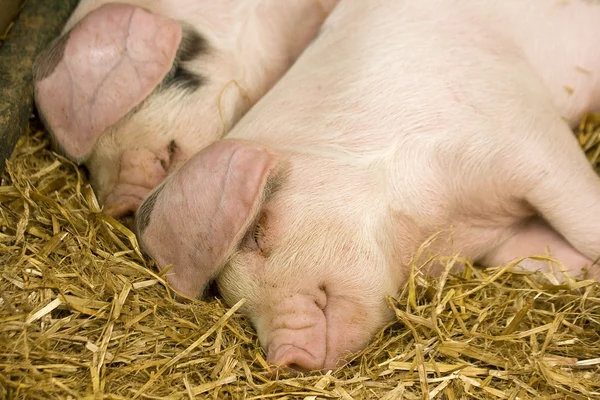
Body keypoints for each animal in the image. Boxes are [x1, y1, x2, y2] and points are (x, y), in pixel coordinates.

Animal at [135, 0, 600, 374]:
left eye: (258, 233)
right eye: (228, 294)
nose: (283, 357)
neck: (442, 227)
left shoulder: (524, 142)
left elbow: (584, 219)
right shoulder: (499, 236)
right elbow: (545, 255)